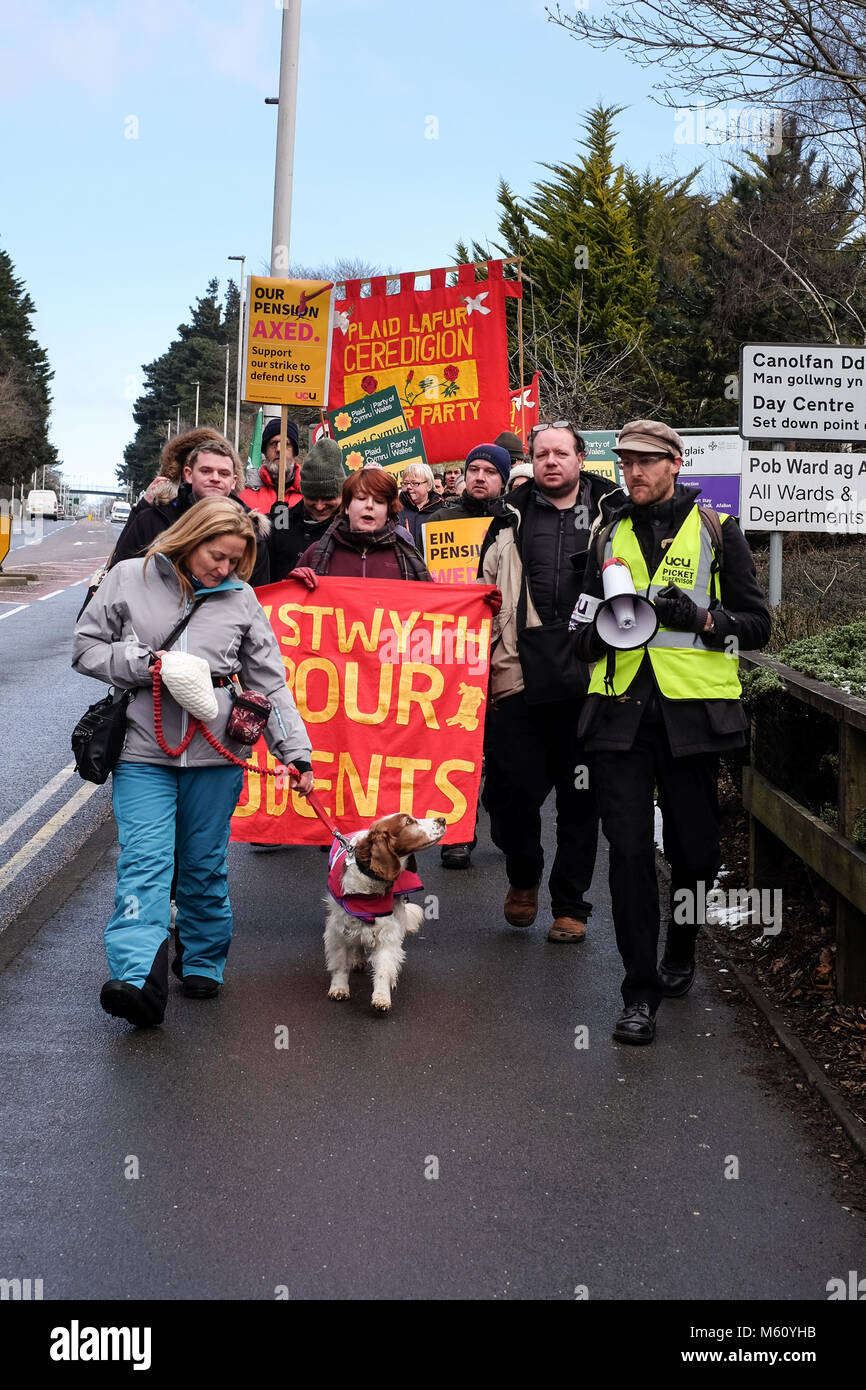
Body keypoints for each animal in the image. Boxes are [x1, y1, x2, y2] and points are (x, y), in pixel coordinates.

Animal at [325, 811, 447, 1011]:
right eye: (408, 821)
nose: (442, 819)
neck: (370, 880)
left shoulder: (387, 931)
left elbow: (384, 967)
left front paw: (382, 996)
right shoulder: (339, 929)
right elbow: (341, 962)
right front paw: (339, 988)